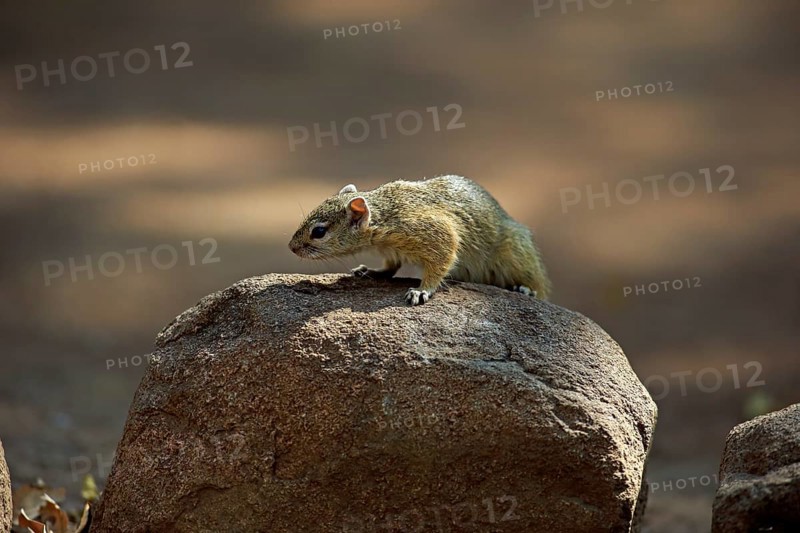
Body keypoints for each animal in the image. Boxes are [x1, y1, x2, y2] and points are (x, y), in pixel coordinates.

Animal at [288, 175, 551, 305]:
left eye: (319, 231)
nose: (291, 247)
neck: (385, 215)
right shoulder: (391, 250)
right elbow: (390, 267)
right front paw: (370, 271)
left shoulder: (437, 233)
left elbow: (439, 264)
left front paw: (422, 291)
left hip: (516, 253)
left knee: (538, 284)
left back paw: (527, 290)